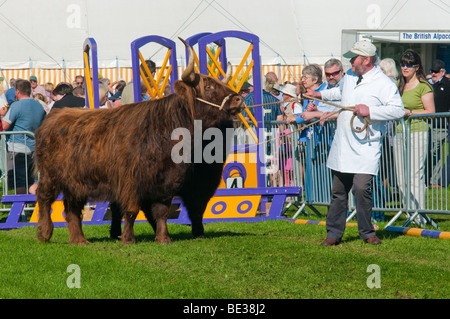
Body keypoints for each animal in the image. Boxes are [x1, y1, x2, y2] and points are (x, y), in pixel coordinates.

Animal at [35, 38, 244, 246]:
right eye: (208, 87)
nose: (238, 99)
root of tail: (55, 115)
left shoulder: (166, 181)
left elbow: (161, 212)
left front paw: (163, 238)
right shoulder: (130, 182)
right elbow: (131, 211)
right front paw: (128, 238)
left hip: (75, 182)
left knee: (72, 209)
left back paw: (79, 239)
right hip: (49, 176)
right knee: (44, 199)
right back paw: (45, 233)